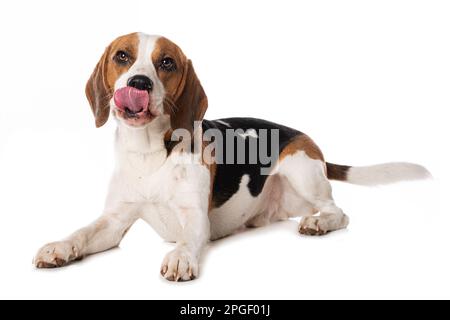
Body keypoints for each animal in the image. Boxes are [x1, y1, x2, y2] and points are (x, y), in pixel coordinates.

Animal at [33, 32, 430, 282]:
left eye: (166, 62)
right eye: (122, 57)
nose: (139, 84)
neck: (150, 154)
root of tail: (309, 141)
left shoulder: (195, 219)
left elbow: (187, 239)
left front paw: (180, 256)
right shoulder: (114, 220)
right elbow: (83, 233)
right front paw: (60, 247)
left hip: (302, 170)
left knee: (339, 211)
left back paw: (319, 223)